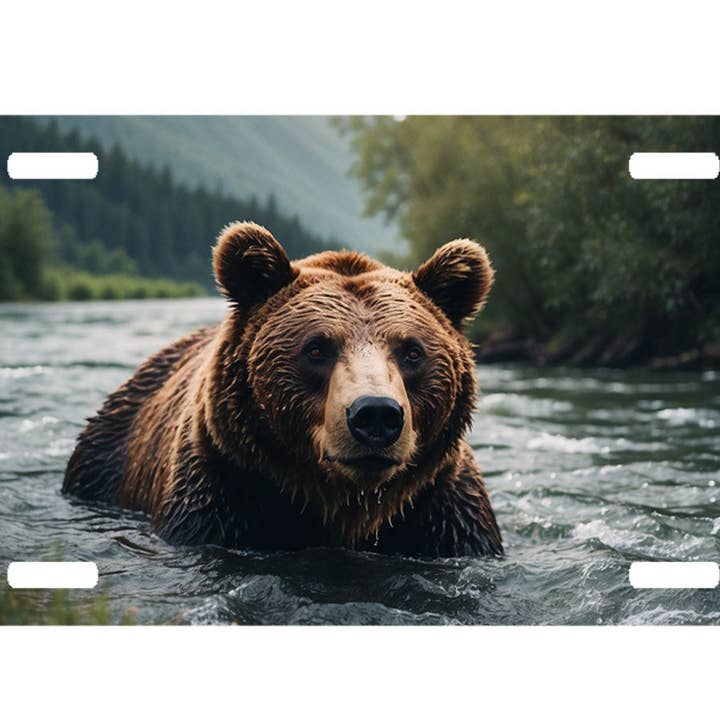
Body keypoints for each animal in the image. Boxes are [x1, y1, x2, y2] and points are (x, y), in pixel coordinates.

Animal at [63, 221, 503, 557]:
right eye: (317, 348)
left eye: (412, 351)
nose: (376, 414)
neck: (347, 508)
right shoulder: (219, 496)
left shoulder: (445, 513)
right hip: (104, 462)